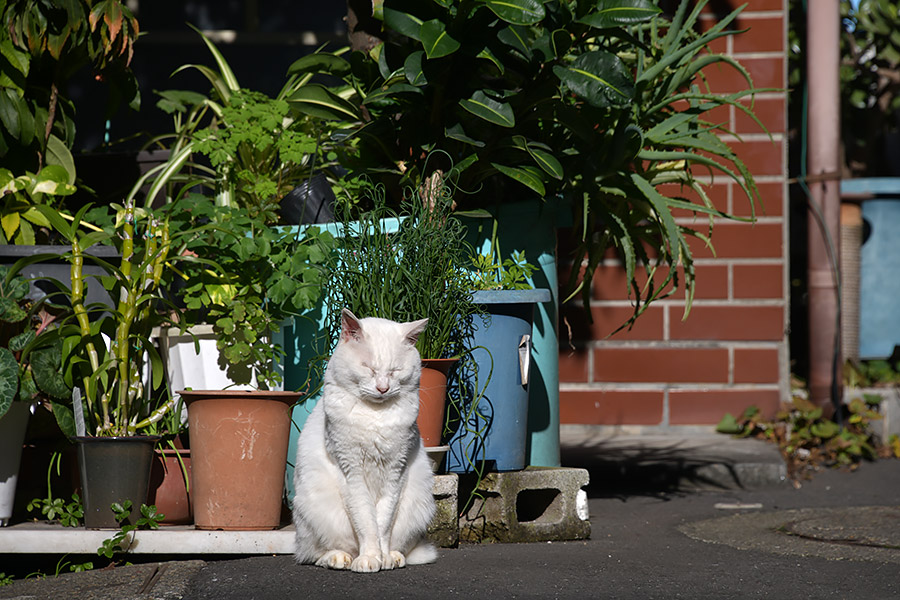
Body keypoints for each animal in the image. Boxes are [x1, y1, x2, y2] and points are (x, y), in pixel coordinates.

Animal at [294, 310, 438, 572]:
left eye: (394, 371)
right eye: (368, 368)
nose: (383, 388)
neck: (375, 416)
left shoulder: (396, 473)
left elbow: (382, 524)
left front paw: (383, 558)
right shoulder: (351, 472)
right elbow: (366, 521)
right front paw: (370, 559)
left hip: (419, 501)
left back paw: (395, 557)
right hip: (313, 508)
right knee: (312, 554)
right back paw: (340, 559)